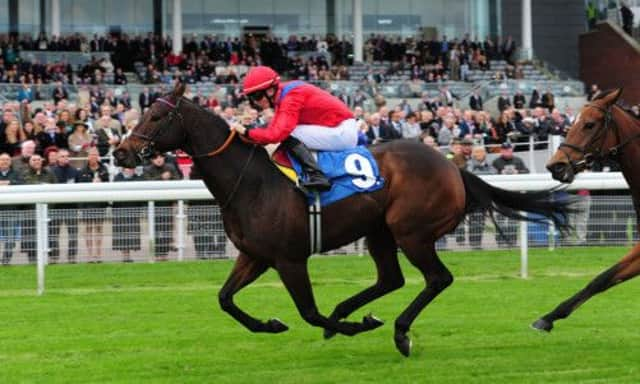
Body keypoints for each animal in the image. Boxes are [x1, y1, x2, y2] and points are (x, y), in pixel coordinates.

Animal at [112, 84, 572, 356]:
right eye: (144, 113)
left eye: (157, 116)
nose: (121, 152)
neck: (252, 183)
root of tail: (452, 167)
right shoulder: (254, 256)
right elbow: (225, 300)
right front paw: (272, 324)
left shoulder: (289, 259)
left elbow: (309, 313)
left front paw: (347, 327)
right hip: (379, 231)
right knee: (391, 279)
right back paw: (358, 312)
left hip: (411, 232)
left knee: (436, 279)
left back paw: (397, 331)